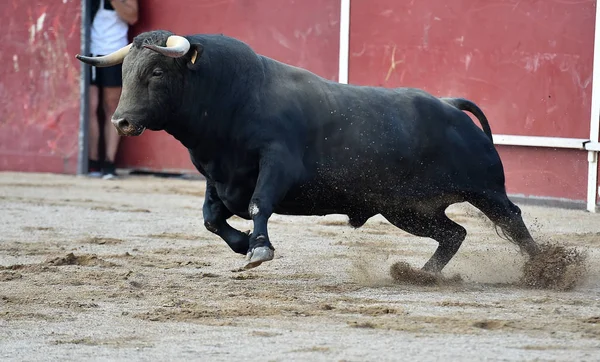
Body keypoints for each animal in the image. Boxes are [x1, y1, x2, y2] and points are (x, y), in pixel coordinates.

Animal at [77, 29, 540, 272]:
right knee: (453, 234)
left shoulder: (276, 161)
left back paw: (543, 270)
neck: (233, 96)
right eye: (125, 71)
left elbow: (260, 203)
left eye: (156, 71)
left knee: (513, 220)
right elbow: (211, 217)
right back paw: (423, 275)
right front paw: (243, 244)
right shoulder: (218, 174)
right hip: (407, 209)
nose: (122, 121)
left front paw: (258, 249)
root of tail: (450, 106)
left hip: (485, 190)